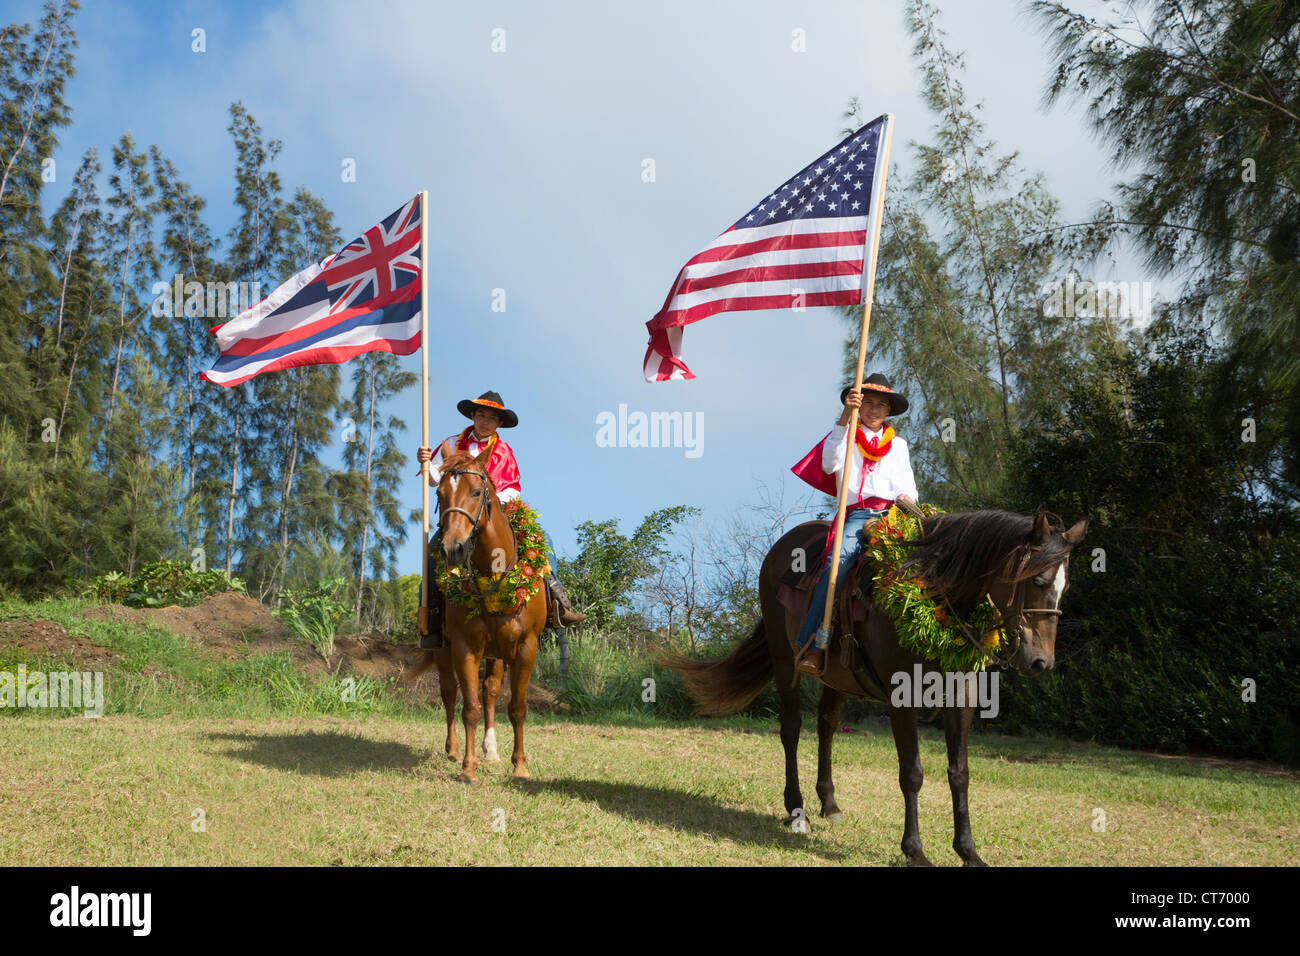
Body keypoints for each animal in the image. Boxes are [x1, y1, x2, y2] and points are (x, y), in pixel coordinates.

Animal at [408, 442, 546, 785]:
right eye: (440, 493)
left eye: (475, 492)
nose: (452, 549)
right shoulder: (464, 646)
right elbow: (468, 707)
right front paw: (468, 768)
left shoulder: (526, 647)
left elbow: (517, 707)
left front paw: (519, 766)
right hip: (443, 649)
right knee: (449, 693)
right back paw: (453, 749)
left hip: (497, 653)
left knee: (491, 692)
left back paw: (491, 750)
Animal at [670, 509, 1086, 868]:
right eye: (1037, 581)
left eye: (1065, 586)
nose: (1040, 662)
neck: (934, 594)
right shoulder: (902, 699)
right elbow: (912, 773)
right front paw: (915, 850)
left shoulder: (961, 698)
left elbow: (960, 773)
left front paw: (968, 851)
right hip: (785, 659)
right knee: (791, 730)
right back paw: (797, 811)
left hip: (835, 674)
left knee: (827, 724)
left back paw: (829, 803)